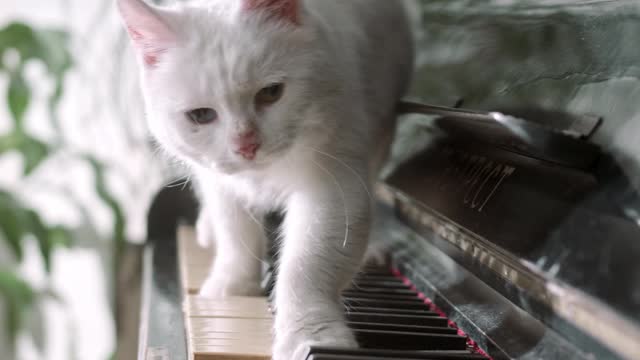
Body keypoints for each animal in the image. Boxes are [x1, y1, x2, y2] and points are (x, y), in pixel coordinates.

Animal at [117, 0, 412, 358]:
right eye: (200, 116)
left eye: (271, 93)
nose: (246, 145)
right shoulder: (220, 183)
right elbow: (235, 235)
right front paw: (232, 288)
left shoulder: (334, 185)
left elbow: (307, 266)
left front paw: (311, 337)